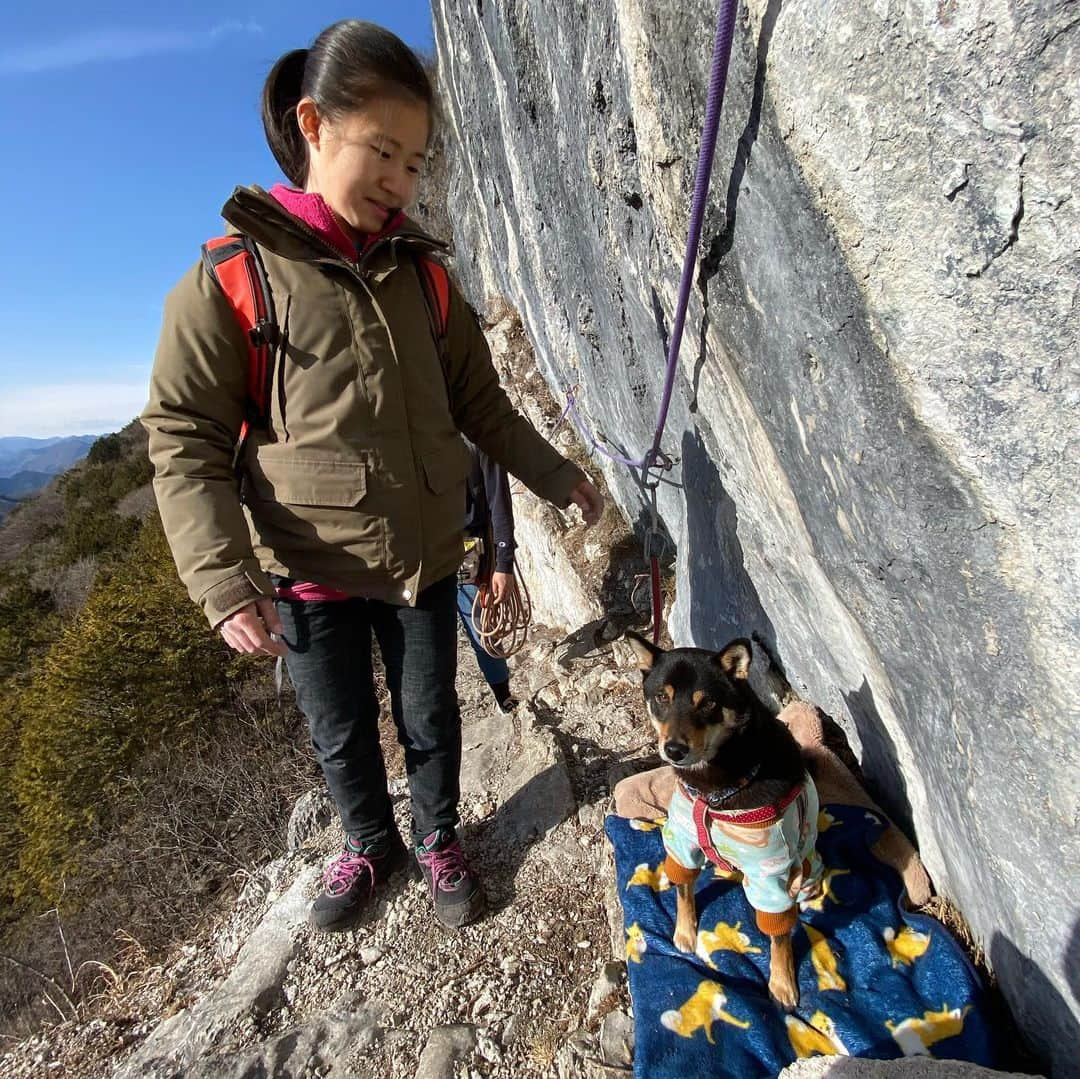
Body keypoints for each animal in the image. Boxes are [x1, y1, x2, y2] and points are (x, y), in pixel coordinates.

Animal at [622, 630, 820, 1010]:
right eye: (661, 697)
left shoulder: (770, 872)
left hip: (803, 867)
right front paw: (684, 932)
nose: (674, 750)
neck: (714, 791)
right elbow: (684, 889)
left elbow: (779, 936)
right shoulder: (683, 841)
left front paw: (783, 984)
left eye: (707, 704)